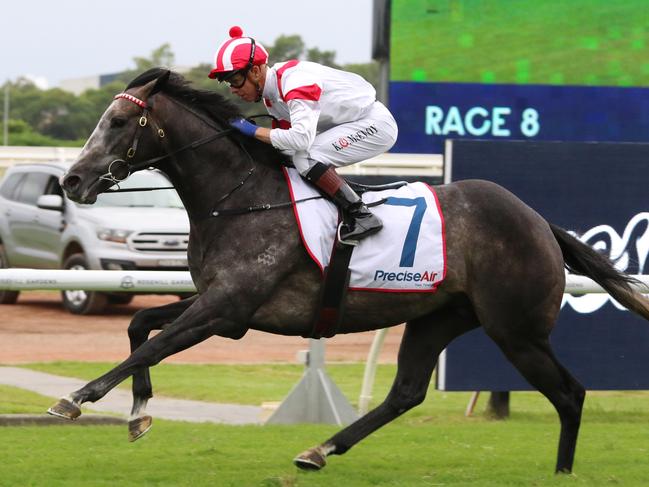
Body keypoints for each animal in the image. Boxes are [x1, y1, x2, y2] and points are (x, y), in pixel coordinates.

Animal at [48, 68, 648, 472]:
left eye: (118, 121)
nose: (72, 180)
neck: (239, 197)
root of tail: (540, 221)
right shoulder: (223, 305)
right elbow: (140, 326)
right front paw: (138, 413)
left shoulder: (227, 309)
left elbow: (151, 345)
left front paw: (76, 398)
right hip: (440, 316)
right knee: (407, 391)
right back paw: (320, 449)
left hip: (516, 329)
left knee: (570, 394)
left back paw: (562, 471)